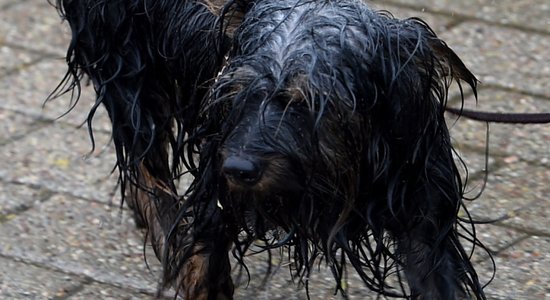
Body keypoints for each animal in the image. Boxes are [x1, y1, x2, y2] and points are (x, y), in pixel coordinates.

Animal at [54, 0, 490, 298]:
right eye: (236, 94)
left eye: (308, 102)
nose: (238, 168)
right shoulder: (214, 191)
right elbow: (204, 265)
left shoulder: (423, 210)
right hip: (127, 73)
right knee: (147, 172)